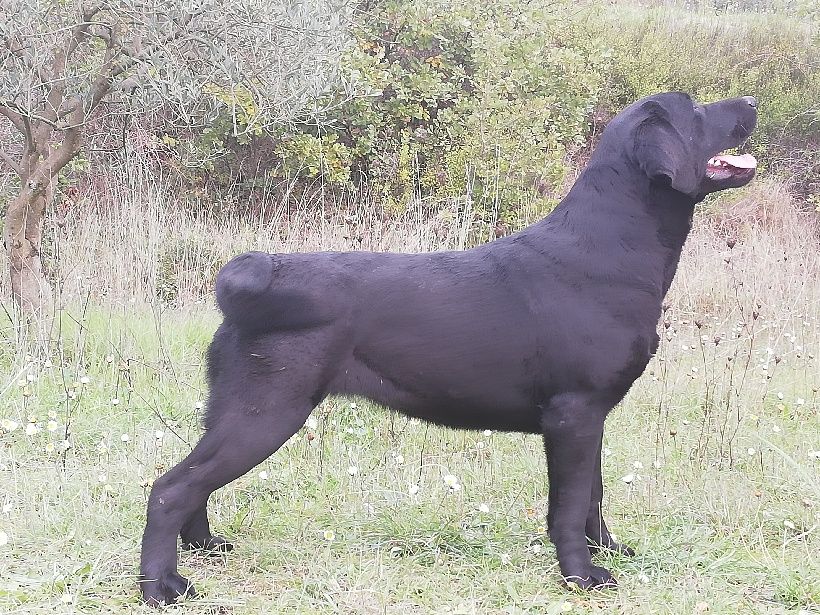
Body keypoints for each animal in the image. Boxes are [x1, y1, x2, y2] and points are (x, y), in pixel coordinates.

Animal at [139, 92, 756, 608]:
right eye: (695, 110)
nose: (749, 101)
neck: (611, 249)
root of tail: (249, 286)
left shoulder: (592, 415)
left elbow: (594, 496)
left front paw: (608, 551)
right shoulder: (573, 412)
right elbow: (570, 503)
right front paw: (581, 575)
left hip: (234, 408)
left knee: (193, 485)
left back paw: (204, 547)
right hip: (266, 412)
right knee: (170, 489)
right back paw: (162, 586)